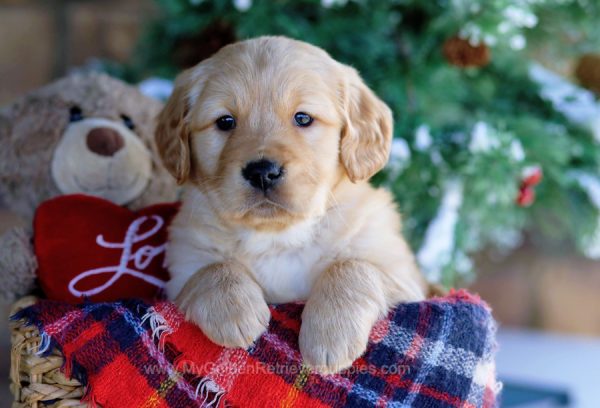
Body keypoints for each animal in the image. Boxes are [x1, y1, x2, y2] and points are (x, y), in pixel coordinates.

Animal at [155, 36, 426, 374]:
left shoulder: (406, 280)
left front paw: (331, 337)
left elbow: (351, 266)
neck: (279, 237)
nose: (262, 172)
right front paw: (235, 312)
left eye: (303, 118)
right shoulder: (183, 267)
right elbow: (212, 268)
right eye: (225, 121)